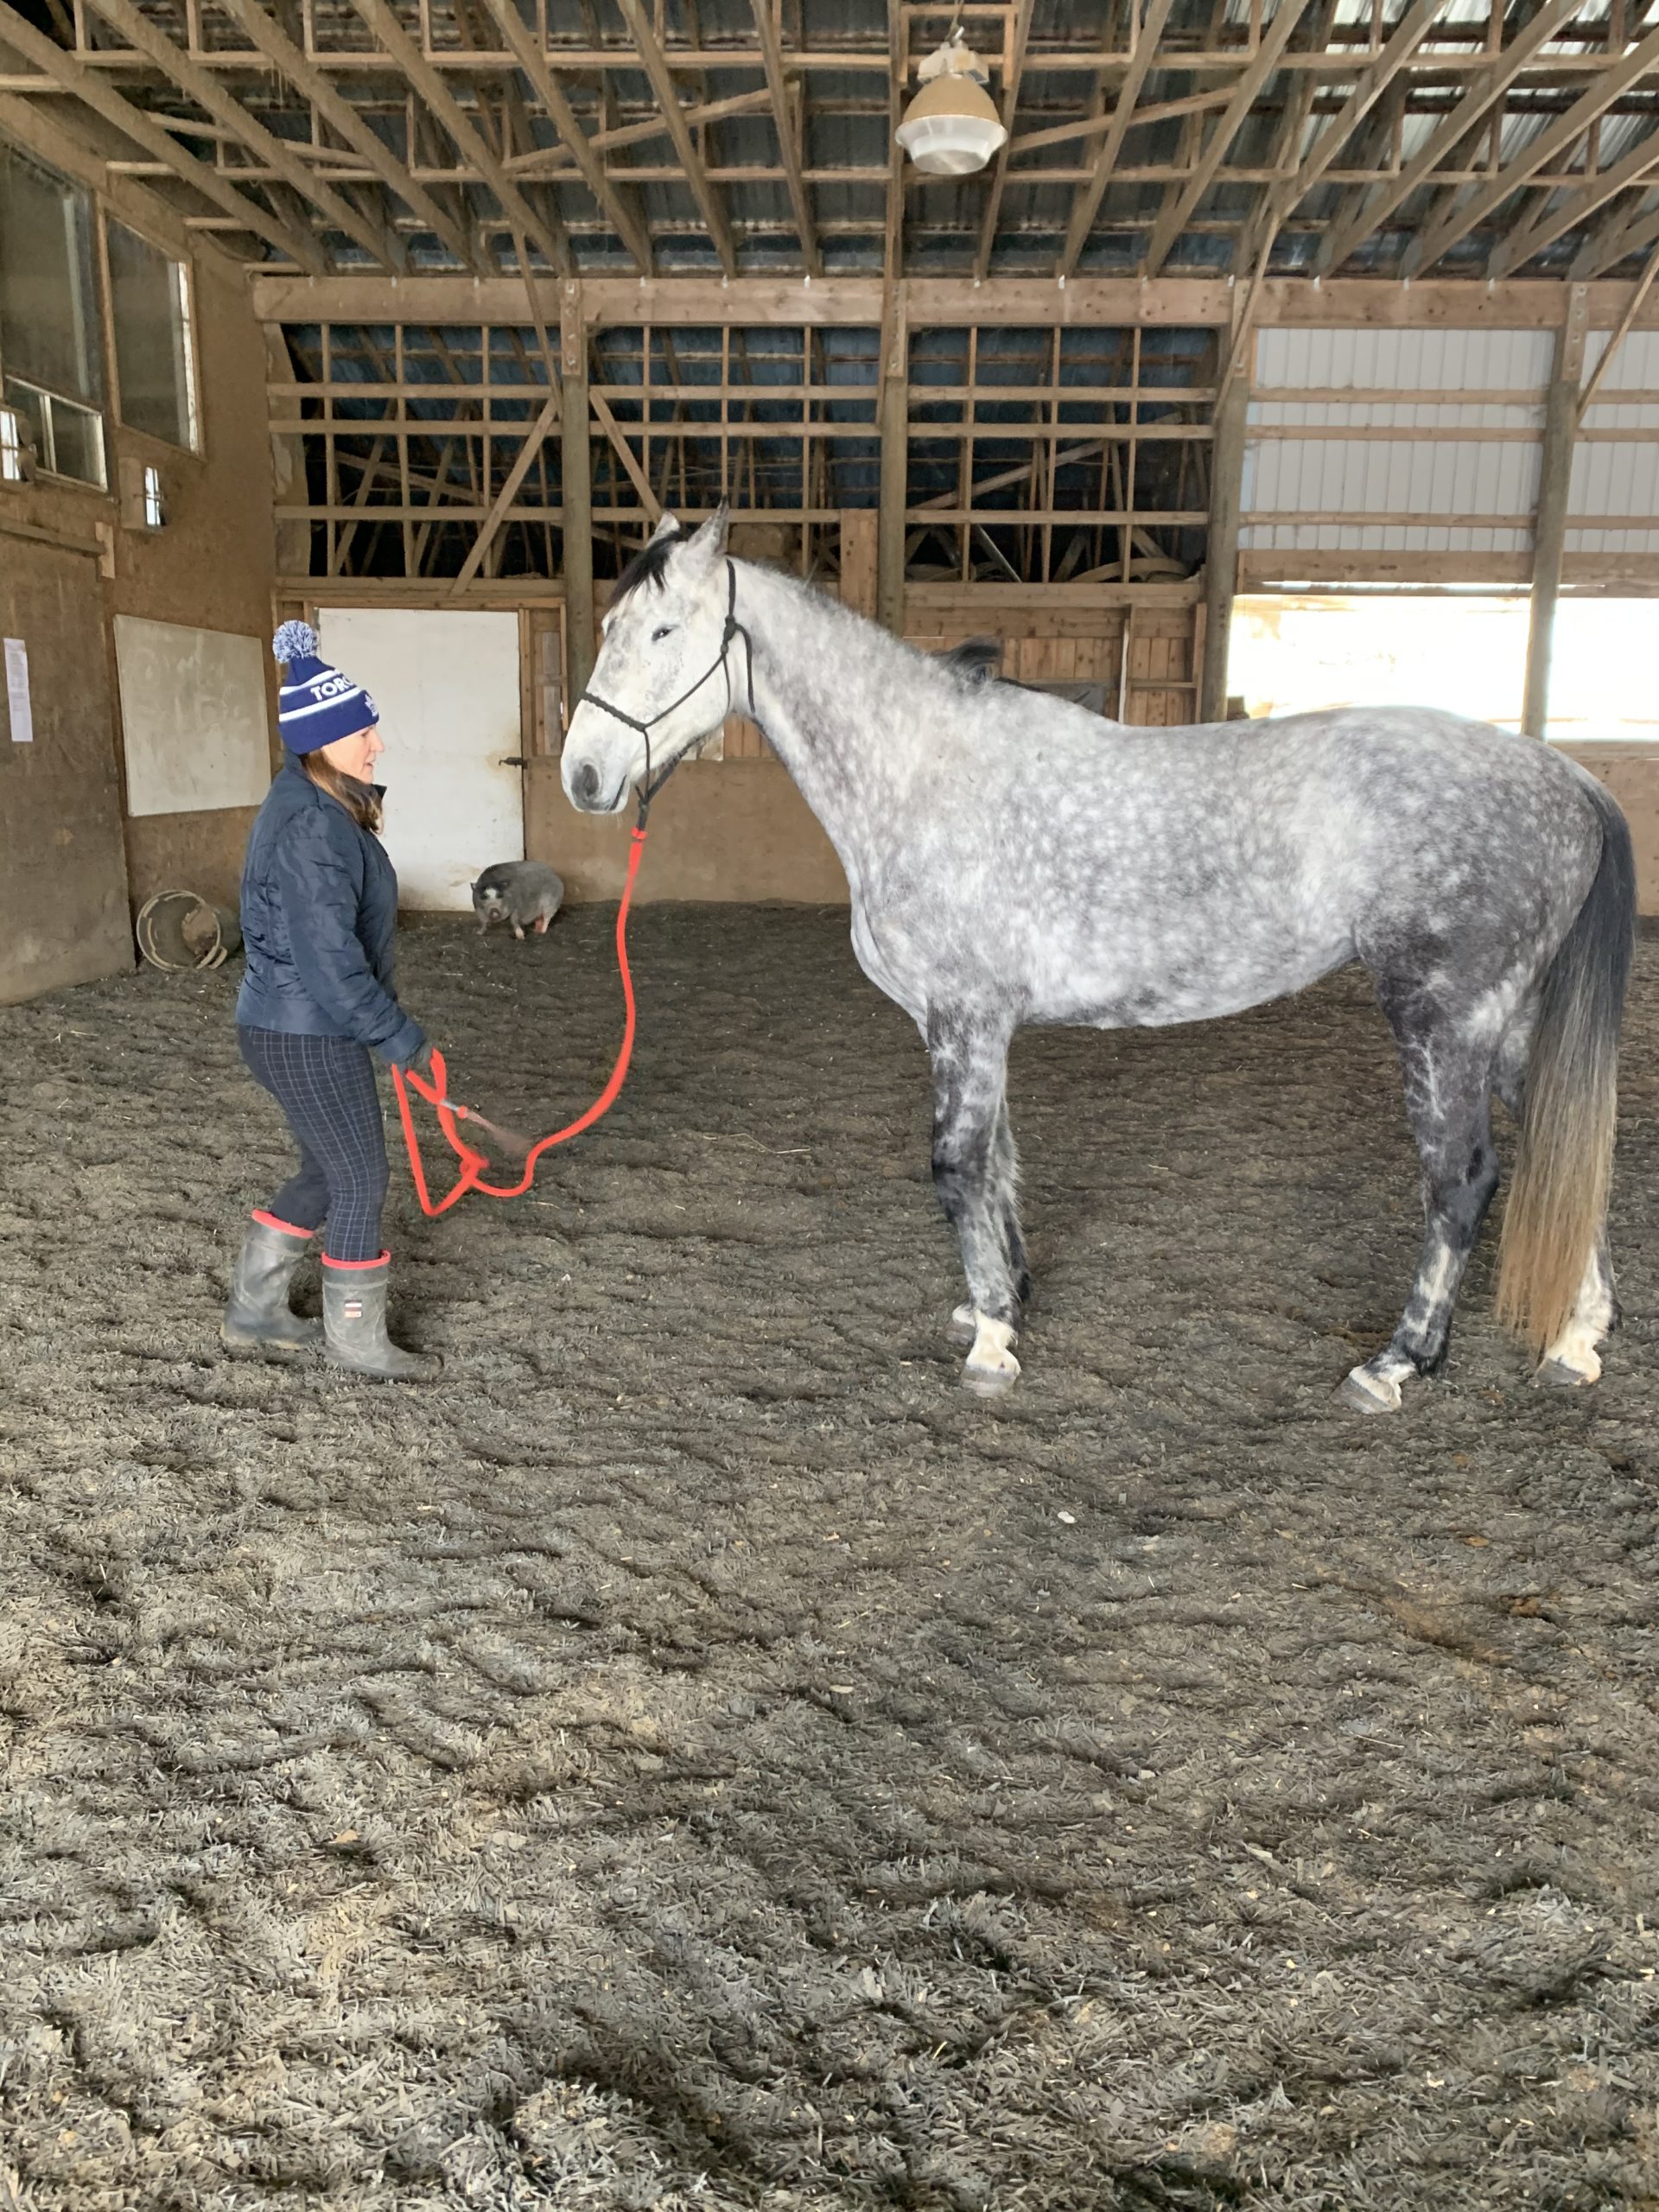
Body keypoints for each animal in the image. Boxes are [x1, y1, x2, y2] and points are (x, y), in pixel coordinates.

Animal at [561, 507, 1635, 1414]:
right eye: (609, 625)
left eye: (662, 633)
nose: (583, 775)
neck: (922, 774)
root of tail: (1566, 776)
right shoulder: (977, 1026)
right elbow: (999, 1160)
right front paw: (1002, 1297)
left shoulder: (964, 1018)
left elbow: (957, 1165)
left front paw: (993, 1342)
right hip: (1506, 1025)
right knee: (1563, 1150)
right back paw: (1575, 1342)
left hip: (1443, 1018)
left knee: (1462, 1179)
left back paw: (1397, 1362)